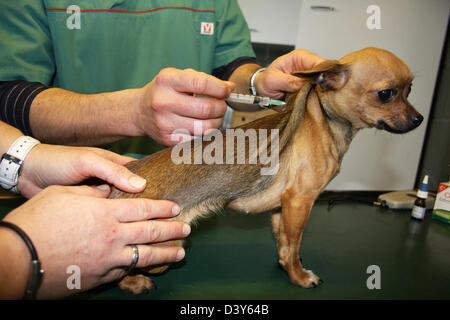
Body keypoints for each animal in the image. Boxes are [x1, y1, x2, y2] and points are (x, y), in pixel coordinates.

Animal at [110, 46, 424, 294]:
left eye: (410, 89)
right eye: (386, 94)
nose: (419, 119)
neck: (324, 121)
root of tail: (117, 191)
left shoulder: (282, 207)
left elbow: (284, 242)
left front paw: (287, 266)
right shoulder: (300, 201)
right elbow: (294, 245)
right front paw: (300, 276)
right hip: (166, 249)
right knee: (124, 267)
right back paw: (134, 282)